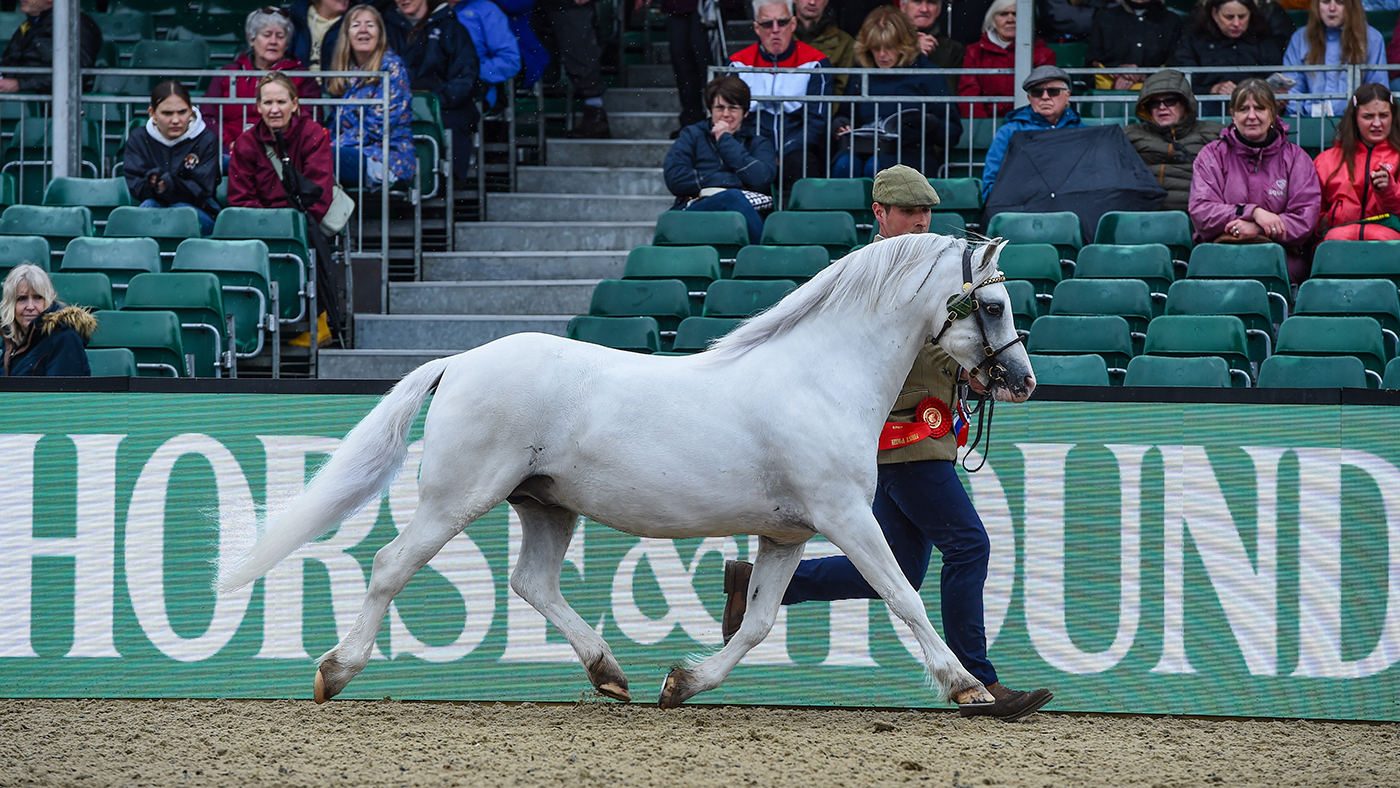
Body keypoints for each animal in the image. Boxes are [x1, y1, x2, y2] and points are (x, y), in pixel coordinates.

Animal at [218, 232, 1036, 709]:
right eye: (993, 304)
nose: (1024, 381)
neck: (819, 378)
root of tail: (458, 361)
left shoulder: (789, 535)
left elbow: (759, 621)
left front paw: (684, 682)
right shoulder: (844, 518)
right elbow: (904, 595)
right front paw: (968, 686)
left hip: (545, 504)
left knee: (533, 583)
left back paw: (610, 673)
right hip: (458, 498)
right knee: (391, 565)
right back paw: (335, 673)